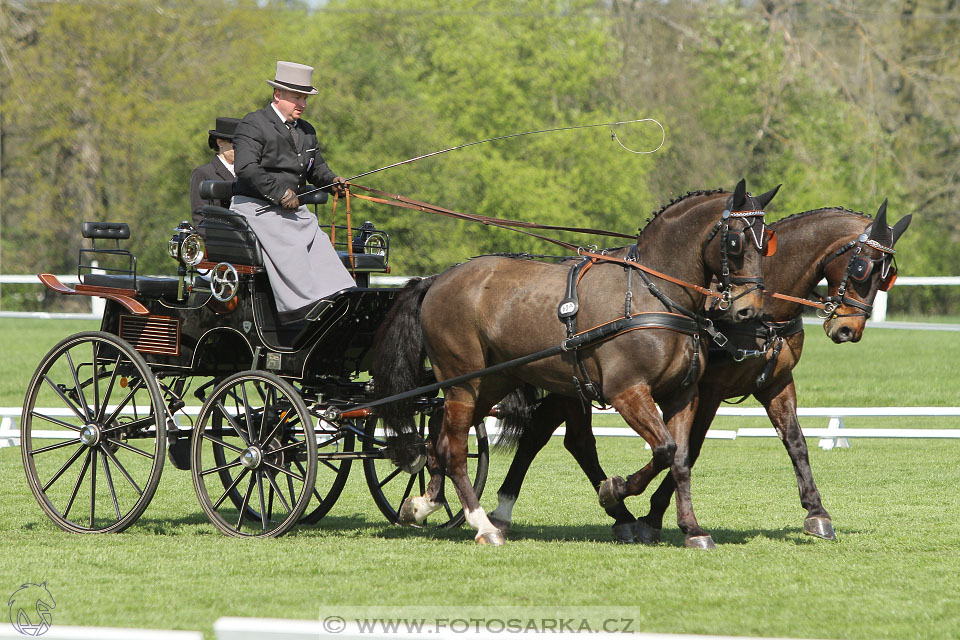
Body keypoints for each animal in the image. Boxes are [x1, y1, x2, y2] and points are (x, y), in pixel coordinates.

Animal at [374, 179, 780, 544]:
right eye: (735, 241)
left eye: (768, 244)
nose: (748, 310)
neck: (651, 294)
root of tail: (438, 278)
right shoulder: (627, 393)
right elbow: (663, 450)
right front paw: (613, 490)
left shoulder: (683, 396)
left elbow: (679, 459)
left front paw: (692, 529)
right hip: (463, 381)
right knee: (456, 448)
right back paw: (483, 525)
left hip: (491, 382)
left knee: (440, 438)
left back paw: (424, 504)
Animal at [484, 201, 912, 544]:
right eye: (863, 267)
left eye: (888, 276)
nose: (848, 330)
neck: (762, 310)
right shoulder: (708, 389)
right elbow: (690, 447)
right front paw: (655, 516)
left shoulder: (776, 383)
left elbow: (796, 442)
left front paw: (816, 512)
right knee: (564, 439)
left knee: (553, 436)